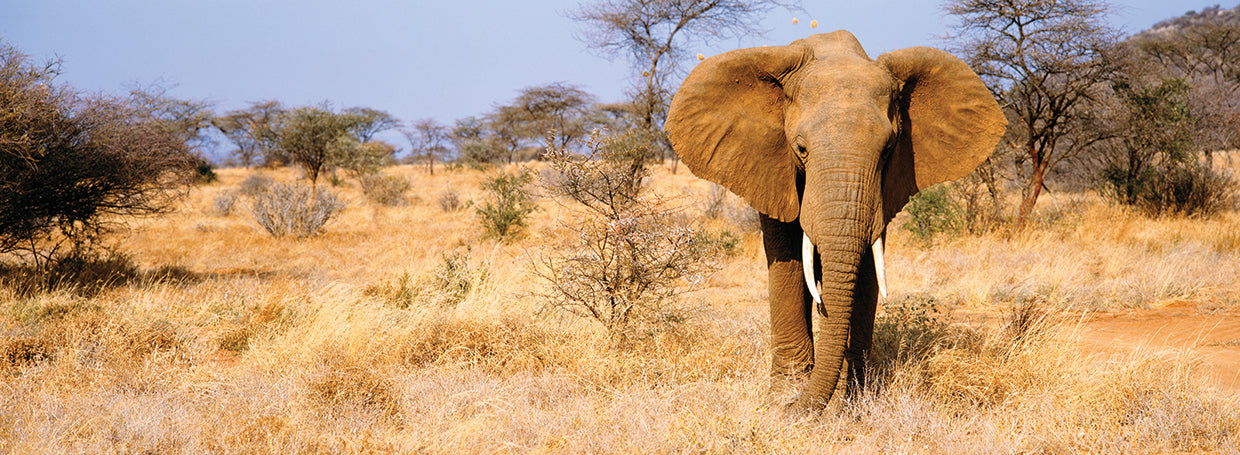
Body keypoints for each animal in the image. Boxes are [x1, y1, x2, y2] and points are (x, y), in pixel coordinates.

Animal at [665, 31, 1006, 411]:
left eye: (888, 150)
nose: (794, 409)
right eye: (800, 149)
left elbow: (867, 268)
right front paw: (784, 394)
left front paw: (848, 399)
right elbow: (787, 258)